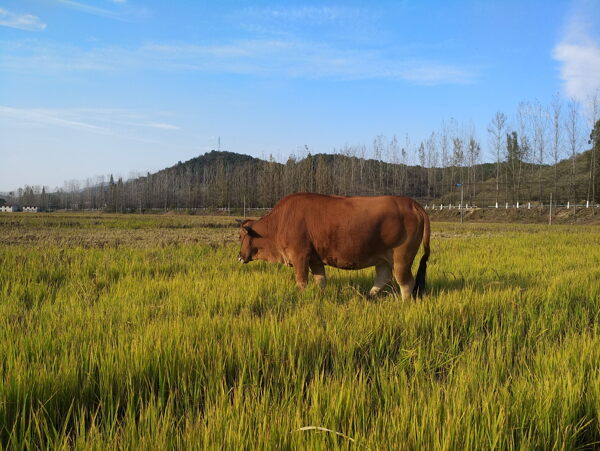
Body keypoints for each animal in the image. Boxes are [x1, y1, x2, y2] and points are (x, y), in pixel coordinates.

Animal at [237, 192, 428, 300]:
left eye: (239, 236)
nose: (239, 256)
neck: (279, 222)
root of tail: (412, 203)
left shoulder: (300, 256)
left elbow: (301, 282)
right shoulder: (315, 260)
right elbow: (320, 281)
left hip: (401, 258)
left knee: (406, 283)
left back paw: (403, 303)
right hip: (383, 258)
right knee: (383, 278)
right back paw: (367, 297)